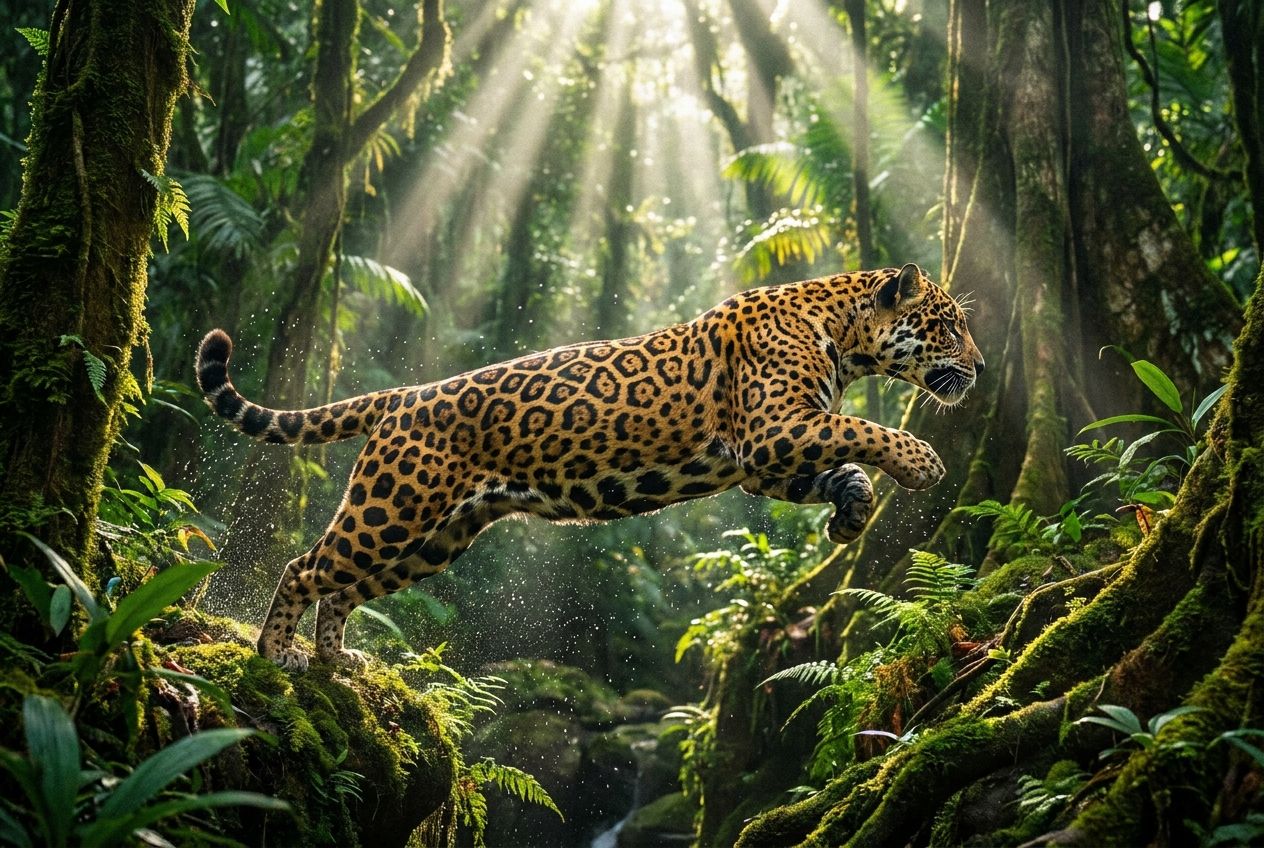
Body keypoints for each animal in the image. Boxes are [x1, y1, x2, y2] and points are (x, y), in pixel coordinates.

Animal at [197, 263, 983, 670]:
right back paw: (276, 653)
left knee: (344, 586)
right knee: (305, 566)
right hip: (391, 509)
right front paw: (923, 462)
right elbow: (868, 428)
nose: (979, 367)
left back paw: (336, 662)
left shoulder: (771, 455)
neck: (846, 338)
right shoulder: (775, 430)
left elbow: (845, 463)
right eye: (948, 324)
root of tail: (406, 395)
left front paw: (850, 515)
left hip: (435, 536)